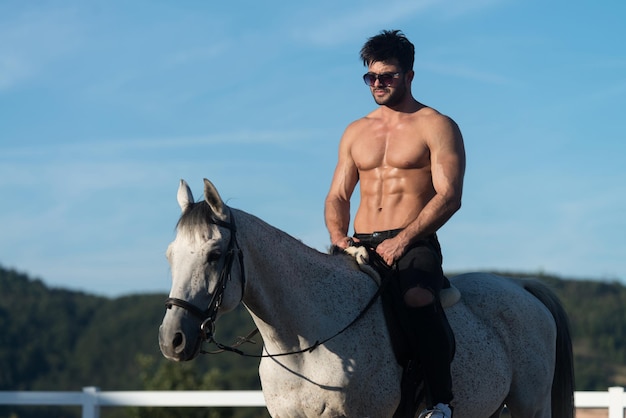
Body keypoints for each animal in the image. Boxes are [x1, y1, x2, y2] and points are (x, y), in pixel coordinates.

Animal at [158, 180, 572, 418]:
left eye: (214, 255)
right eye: (170, 255)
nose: (171, 339)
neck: (302, 342)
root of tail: (522, 287)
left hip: (531, 406)